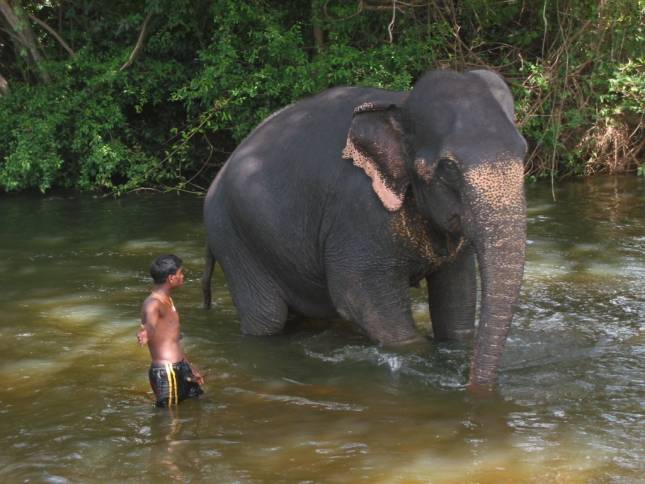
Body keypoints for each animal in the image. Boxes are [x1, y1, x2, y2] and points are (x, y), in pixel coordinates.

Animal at [203, 69, 528, 386]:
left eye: (523, 151)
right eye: (448, 167)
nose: (473, 386)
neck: (402, 103)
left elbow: (457, 297)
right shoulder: (357, 210)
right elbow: (359, 296)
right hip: (234, 240)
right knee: (267, 318)